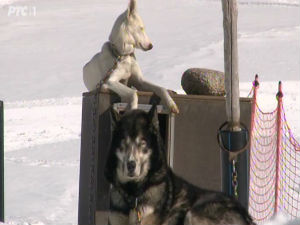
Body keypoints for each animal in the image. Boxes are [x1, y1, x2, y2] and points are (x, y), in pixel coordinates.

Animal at [104, 106, 254, 225]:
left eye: (143, 143)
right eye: (123, 143)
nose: (131, 165)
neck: (133, 193)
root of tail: (246, 217)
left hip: (192, 214)